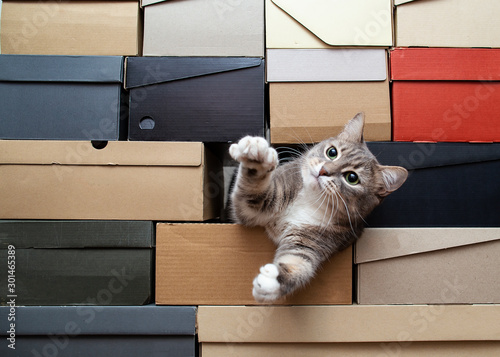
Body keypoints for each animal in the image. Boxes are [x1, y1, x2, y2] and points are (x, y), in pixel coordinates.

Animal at [229, 112, 408, 302]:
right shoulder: (259, 203)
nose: (324, 171)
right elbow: (253, 191)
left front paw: (274, 280)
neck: (310, 200)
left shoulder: (313, 240)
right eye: (332, 152)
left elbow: (299, 262)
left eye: (352, 178)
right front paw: (257, 157)